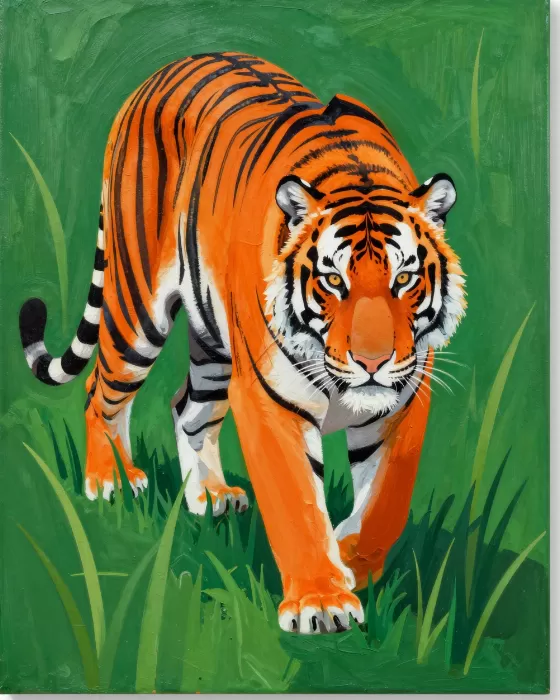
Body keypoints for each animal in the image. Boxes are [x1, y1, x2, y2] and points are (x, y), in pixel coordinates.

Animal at [19, 52, 466, 634]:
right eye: (333, 281)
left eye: (404, 278)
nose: (372, 362)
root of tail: (156, 75)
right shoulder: (271, 399)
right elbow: (295, 501)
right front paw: (322, 602)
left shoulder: (404, 401)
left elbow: (385, 502)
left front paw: (351, 561)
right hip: (137, 309)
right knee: (101, 389)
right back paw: (110, 479)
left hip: (214, 342)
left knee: (187, 407)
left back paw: (208, 494)